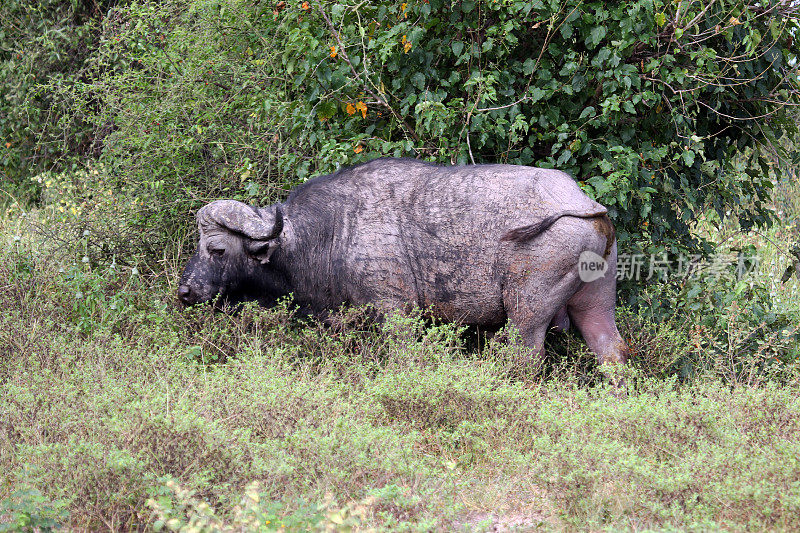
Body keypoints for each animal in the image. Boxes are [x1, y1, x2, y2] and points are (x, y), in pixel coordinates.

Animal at [180, 158, 632, 366]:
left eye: (217, 249)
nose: (185, 291)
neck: (335, 230)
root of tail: (583, 203)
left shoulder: (395, 311)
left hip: (527, 312)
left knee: (525, 357)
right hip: (595, 305)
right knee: (613, 352)